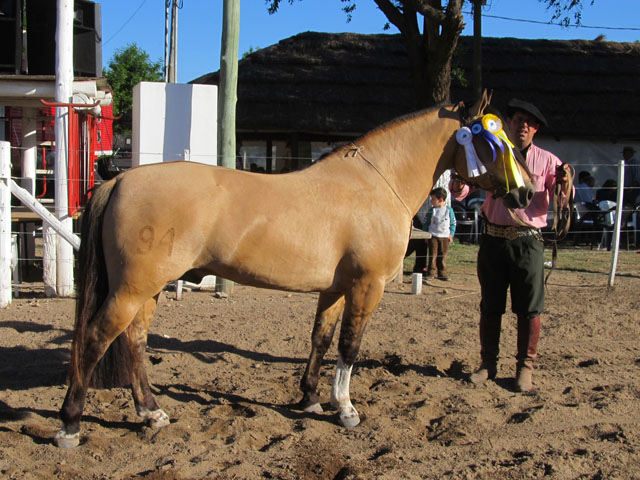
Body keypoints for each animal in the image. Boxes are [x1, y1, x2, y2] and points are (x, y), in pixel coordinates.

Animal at [52, 92, 532, 448]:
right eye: (495, 141)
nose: (526, 194)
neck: (375, 184)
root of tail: (120, 179)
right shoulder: (367, 286)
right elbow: (350, 346)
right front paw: (346, 409)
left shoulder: (335, 289)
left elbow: (321, 339)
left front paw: (311, 398)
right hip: (133, 289)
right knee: (95, 339)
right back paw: (70, 425)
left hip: (147, 289)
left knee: (133, 341)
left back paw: (151, 413)